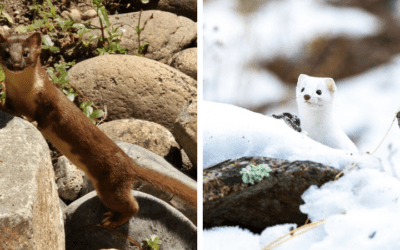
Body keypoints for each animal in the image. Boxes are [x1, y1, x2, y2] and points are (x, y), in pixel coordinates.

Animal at [0, 32, 197, 229]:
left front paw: (31, 121)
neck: (24, 94)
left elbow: (44, 119)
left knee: (132, 205)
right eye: (6, 52)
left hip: (109, 186)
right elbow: (8, 107)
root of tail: (130, 164)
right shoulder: (11, 97)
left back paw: (111, 220)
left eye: (26, 53)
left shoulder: (51, 103)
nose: (15, 64)